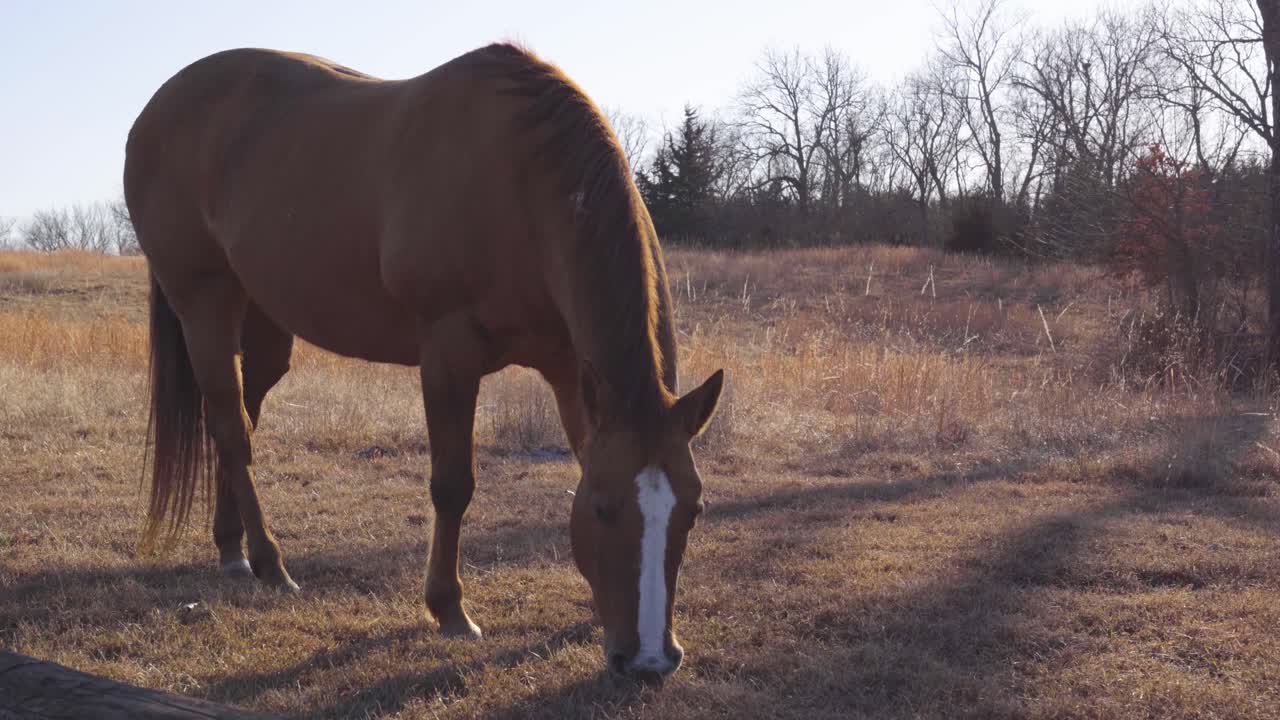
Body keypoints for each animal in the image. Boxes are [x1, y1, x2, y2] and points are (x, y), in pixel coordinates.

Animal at [123, 43, 724, 680]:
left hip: (261, 320)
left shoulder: (570, 371)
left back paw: (231, 548)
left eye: (694, 509)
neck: (520, 183)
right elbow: (453, 485)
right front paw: (449, 610)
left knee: (234, 419)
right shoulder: (448, 357)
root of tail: (156, 113)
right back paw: (268, 564)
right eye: (606, 509)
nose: (650, 660)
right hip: (204, 302)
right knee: (233, 430)